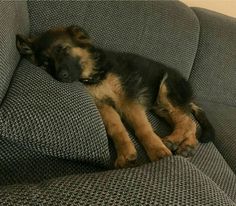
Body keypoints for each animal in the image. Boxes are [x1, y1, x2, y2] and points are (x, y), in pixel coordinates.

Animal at [15, 25, 215, 167]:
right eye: (45, 64)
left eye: (64, 49)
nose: (61, 77)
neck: (94, 74)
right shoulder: (103, 104)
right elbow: (115, 127)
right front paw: (126, 153)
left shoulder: (128, 100)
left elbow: (142, 128)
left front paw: (157, 149)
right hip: (160, 106)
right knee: (188, 122)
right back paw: (187, 145)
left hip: (166, 90)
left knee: (187, 121)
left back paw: (174, 141)